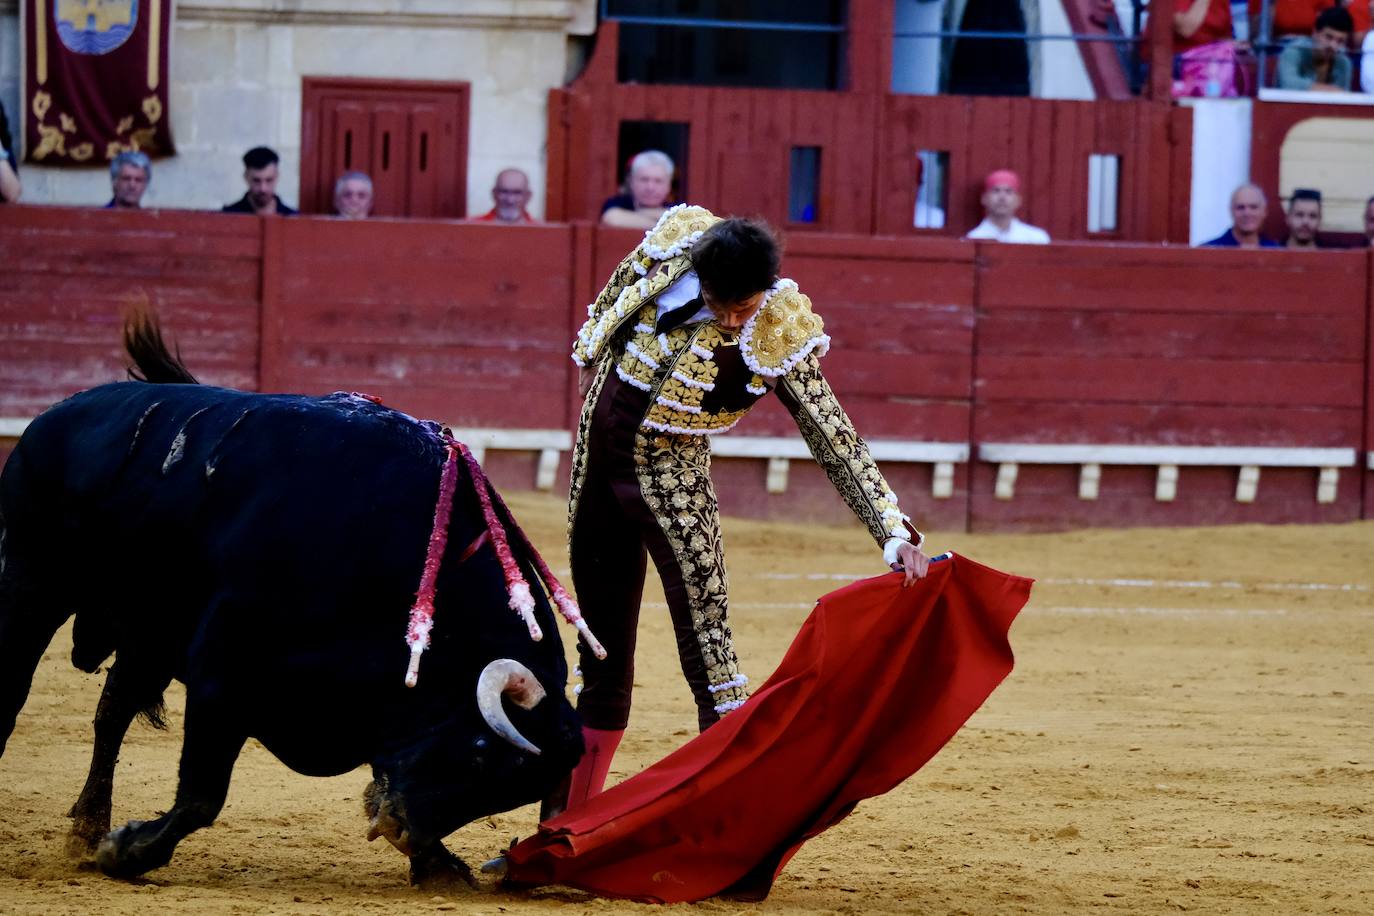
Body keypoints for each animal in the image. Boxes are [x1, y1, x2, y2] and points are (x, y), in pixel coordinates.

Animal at [0, 347, 585, 884]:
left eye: (511, 790)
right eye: (483, 753)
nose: (402, 828)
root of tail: (57, 413)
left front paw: (438, 862)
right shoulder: (222, 672)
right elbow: (202, 795)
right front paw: (127, 852)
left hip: (149, 630)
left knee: (112, 714)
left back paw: (87, 828)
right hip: (32, 585)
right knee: (17, 693)